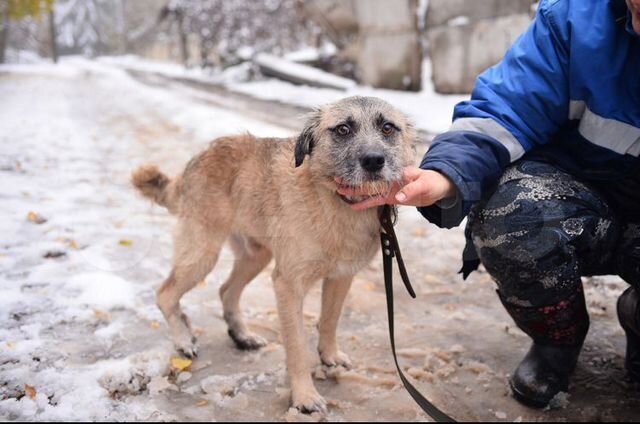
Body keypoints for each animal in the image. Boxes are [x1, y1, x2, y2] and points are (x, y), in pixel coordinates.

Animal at [132, 97, 418, 414]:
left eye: (387, 128)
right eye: (343, 129)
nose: (373, 161)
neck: (334, 199)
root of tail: (197, 159)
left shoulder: (341, 276)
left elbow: (330, 320)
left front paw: (329, 355)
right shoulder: (288, 285)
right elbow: (297, 348)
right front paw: (305, 396)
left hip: (256, 256)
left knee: (226, 290)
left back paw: (241, 336)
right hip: (202, 253)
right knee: (166, 293)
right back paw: (183, 341)